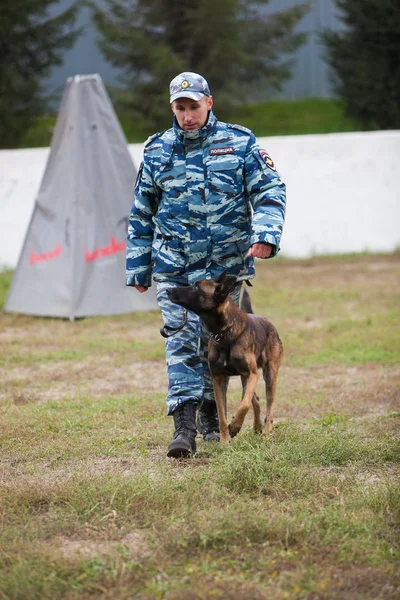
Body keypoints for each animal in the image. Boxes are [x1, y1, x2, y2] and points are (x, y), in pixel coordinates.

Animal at [167, 270, 282, 440]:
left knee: (269, 406)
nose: (168, 290)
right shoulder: (218, 380)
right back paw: (256, 427)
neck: (225, 334)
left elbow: (244, 405)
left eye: (196, 287)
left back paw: (266, 433)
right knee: (255, 399)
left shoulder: (252, 374)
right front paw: (225, 441)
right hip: (245, 379)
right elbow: (222, 415)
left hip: (269, 376)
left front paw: (235, 426)